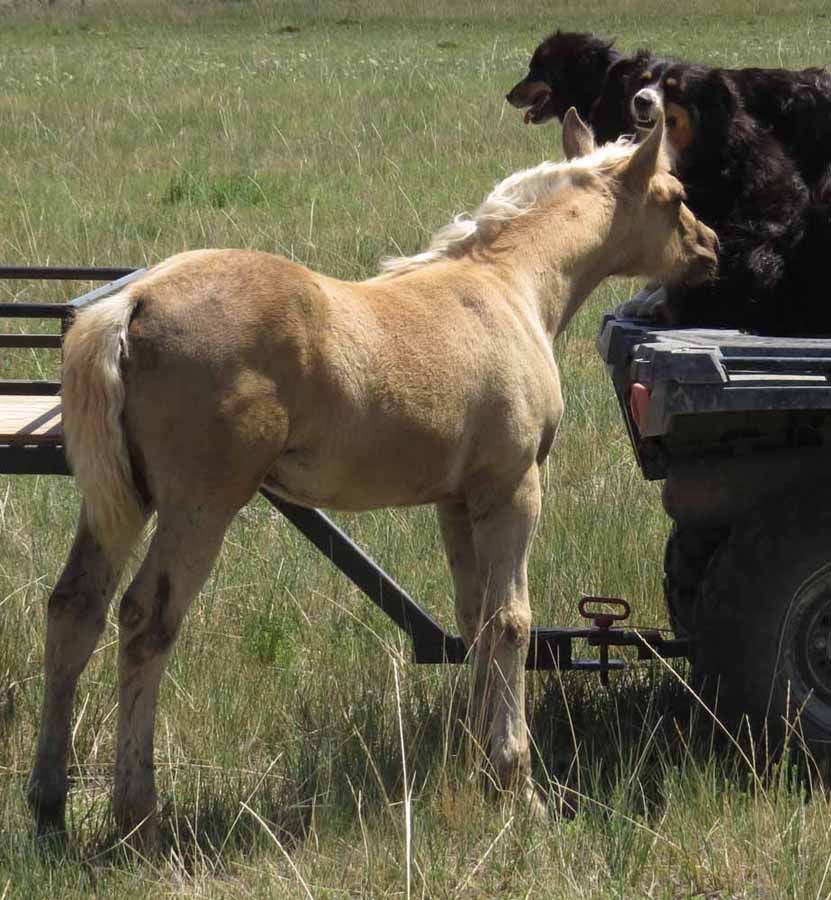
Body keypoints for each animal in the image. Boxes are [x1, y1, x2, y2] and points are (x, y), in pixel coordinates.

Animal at [28, 108, 717, 846]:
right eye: (675, 195)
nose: (711, 247)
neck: (509, 289)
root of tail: (132, 302)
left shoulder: (456, 500)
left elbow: (474, 620)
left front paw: (474, 767)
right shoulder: (513, 487)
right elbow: (511, 622)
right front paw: (518, 788)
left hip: (119, 501)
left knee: (74, 609)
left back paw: (48, 807)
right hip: (200, 506)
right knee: (144, 621)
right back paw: (139, 816)